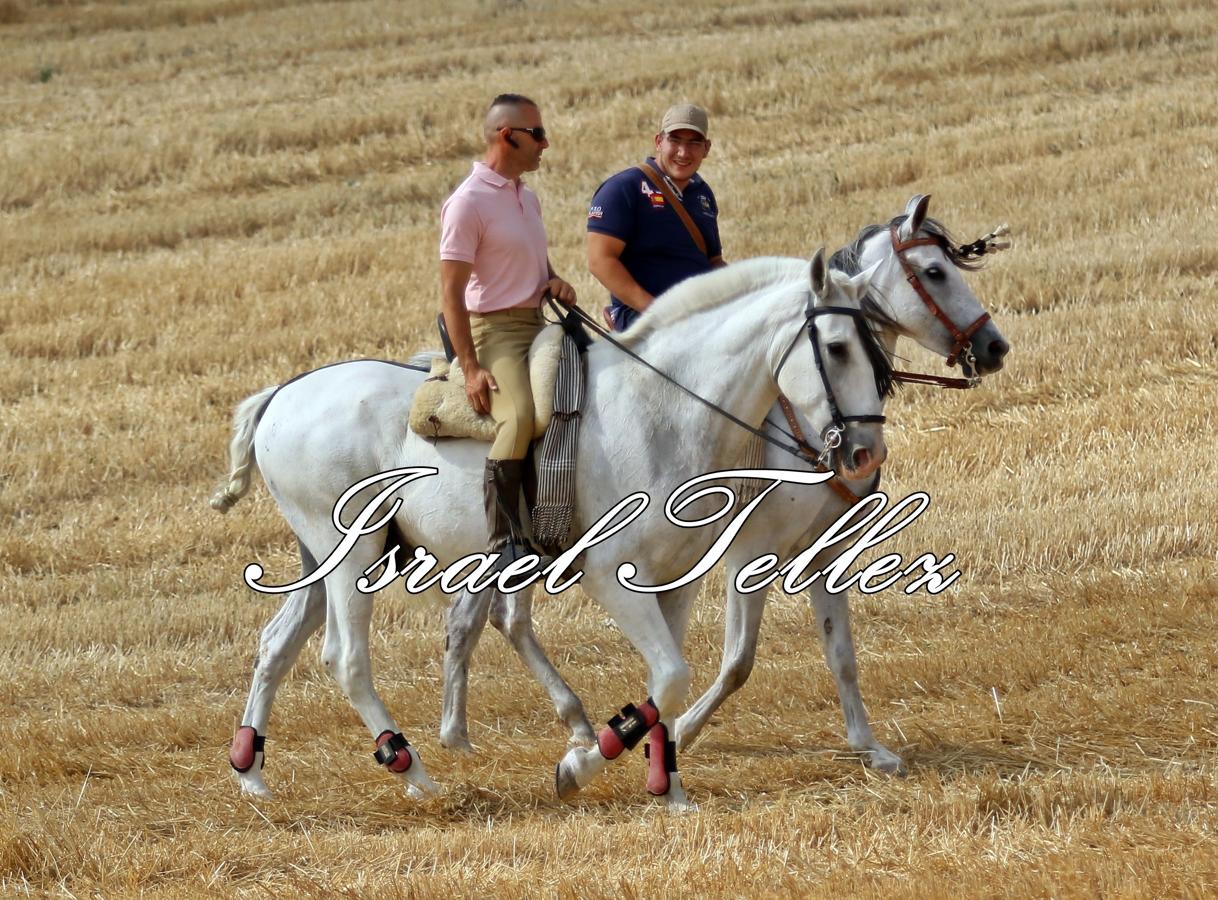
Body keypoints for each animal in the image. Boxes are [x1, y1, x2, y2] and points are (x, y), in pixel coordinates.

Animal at [216, 246, 886, 808]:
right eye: (837, 346)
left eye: (875, 345)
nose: (865, 453)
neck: (663, 410)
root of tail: (282, 394)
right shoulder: (616, 576)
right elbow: (673, 676)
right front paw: (584, 763)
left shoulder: (676, 580)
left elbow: (667, 685)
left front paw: (667, 788)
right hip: (354, 556)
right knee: (347, 658)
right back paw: (412, 771)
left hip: (323, 562)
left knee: (276, 643)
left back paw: (251, 773)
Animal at [438, 194, 1008, 779]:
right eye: (935, 272)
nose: (994, 346)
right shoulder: (749, 552)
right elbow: (738, 660)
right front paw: (684, 731)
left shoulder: (824, 553)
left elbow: (841, 655)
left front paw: (869, 746)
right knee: (487, 620)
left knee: (492, 619)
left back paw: (503, 727)